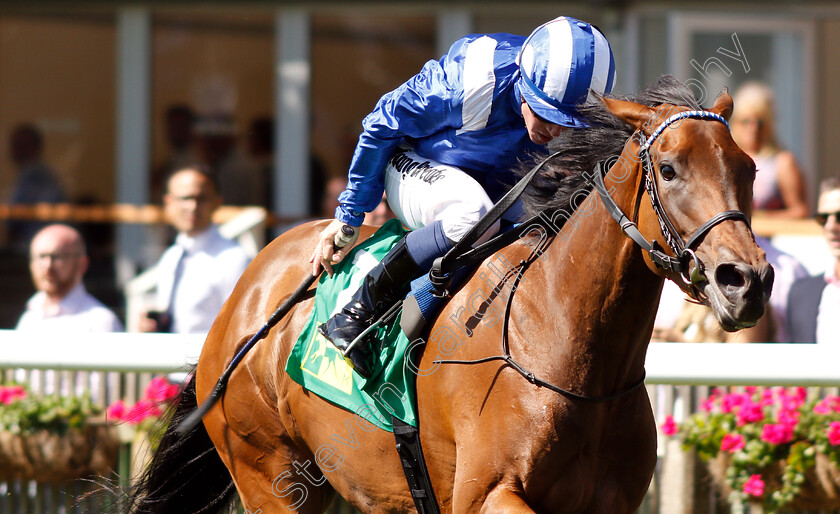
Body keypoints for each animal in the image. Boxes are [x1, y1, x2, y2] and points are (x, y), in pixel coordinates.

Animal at [130, 77, 776, 512]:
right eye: (668, 168)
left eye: (748, 167)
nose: (744, 280)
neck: (566, 349)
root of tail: (248, 291)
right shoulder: (486, 493)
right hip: (271, 475)